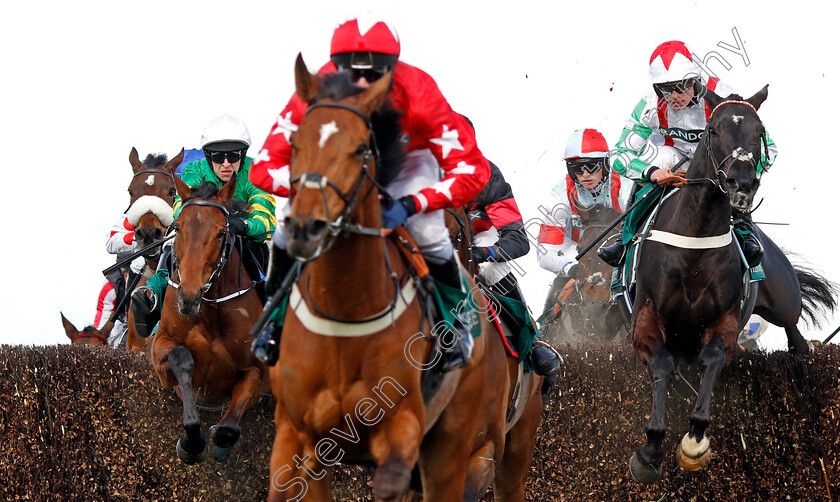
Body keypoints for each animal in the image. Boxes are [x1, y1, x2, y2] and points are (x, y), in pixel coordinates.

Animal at [149, 177, 270, 466]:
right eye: (178, 228)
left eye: (221, 233)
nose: (189, 297)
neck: (210, 309)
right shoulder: (161, 350)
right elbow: (181, 357)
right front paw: (192, 442)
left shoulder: (259, 374)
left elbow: (227, 430)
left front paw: (219, 437)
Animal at [270, 53, 544, 500]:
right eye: (294, 144)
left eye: (362, 149)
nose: (305, 226)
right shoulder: (301, 436)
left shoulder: (470, 452)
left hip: (515, 440)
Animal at [628, 85, 836, 482]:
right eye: (712, 130)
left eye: (759, 131)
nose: (742, 182)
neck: (695, 240)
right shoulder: (644, 317)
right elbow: (661, 364)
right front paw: (650, 448)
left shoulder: (725, 320)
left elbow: (711, 358)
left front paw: (694, 441)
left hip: (784, 298)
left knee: (795, 332)